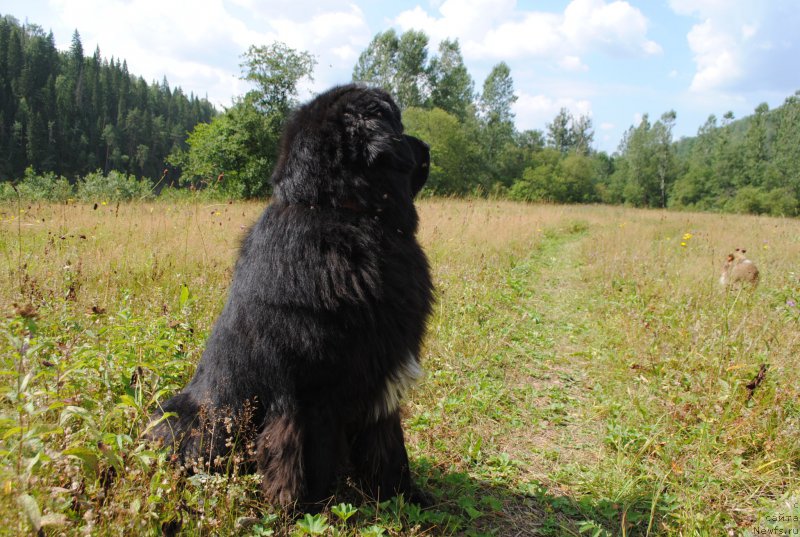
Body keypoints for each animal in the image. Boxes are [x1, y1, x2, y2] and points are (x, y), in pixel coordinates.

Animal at [150, 82, 438, 506]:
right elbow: (309, 453)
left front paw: (405, 496)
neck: (336, 209)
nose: (428, 147)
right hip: (188, 416)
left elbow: (388, 446)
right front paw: (309, 506)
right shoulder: (310, 391)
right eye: (399, 126)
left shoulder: (379, 375)